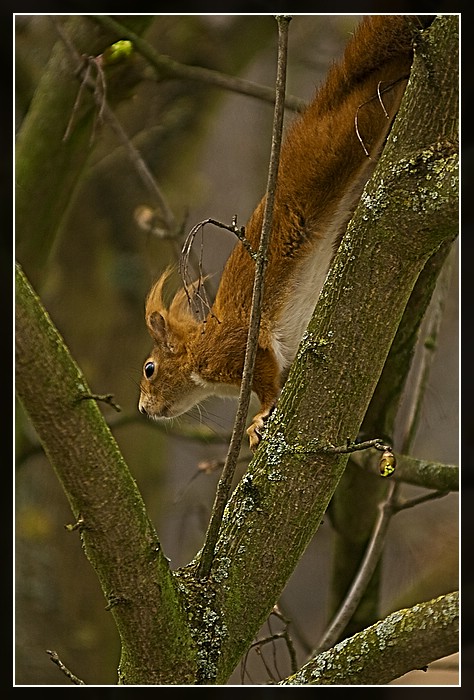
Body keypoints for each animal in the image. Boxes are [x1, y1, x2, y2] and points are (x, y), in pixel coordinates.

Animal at [139, 17, 424, 454]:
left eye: (150, 369)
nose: (142, 409)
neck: (197, 350)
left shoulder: (236, 348)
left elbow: (267, 380)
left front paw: (258, 420)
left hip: (349, 131)